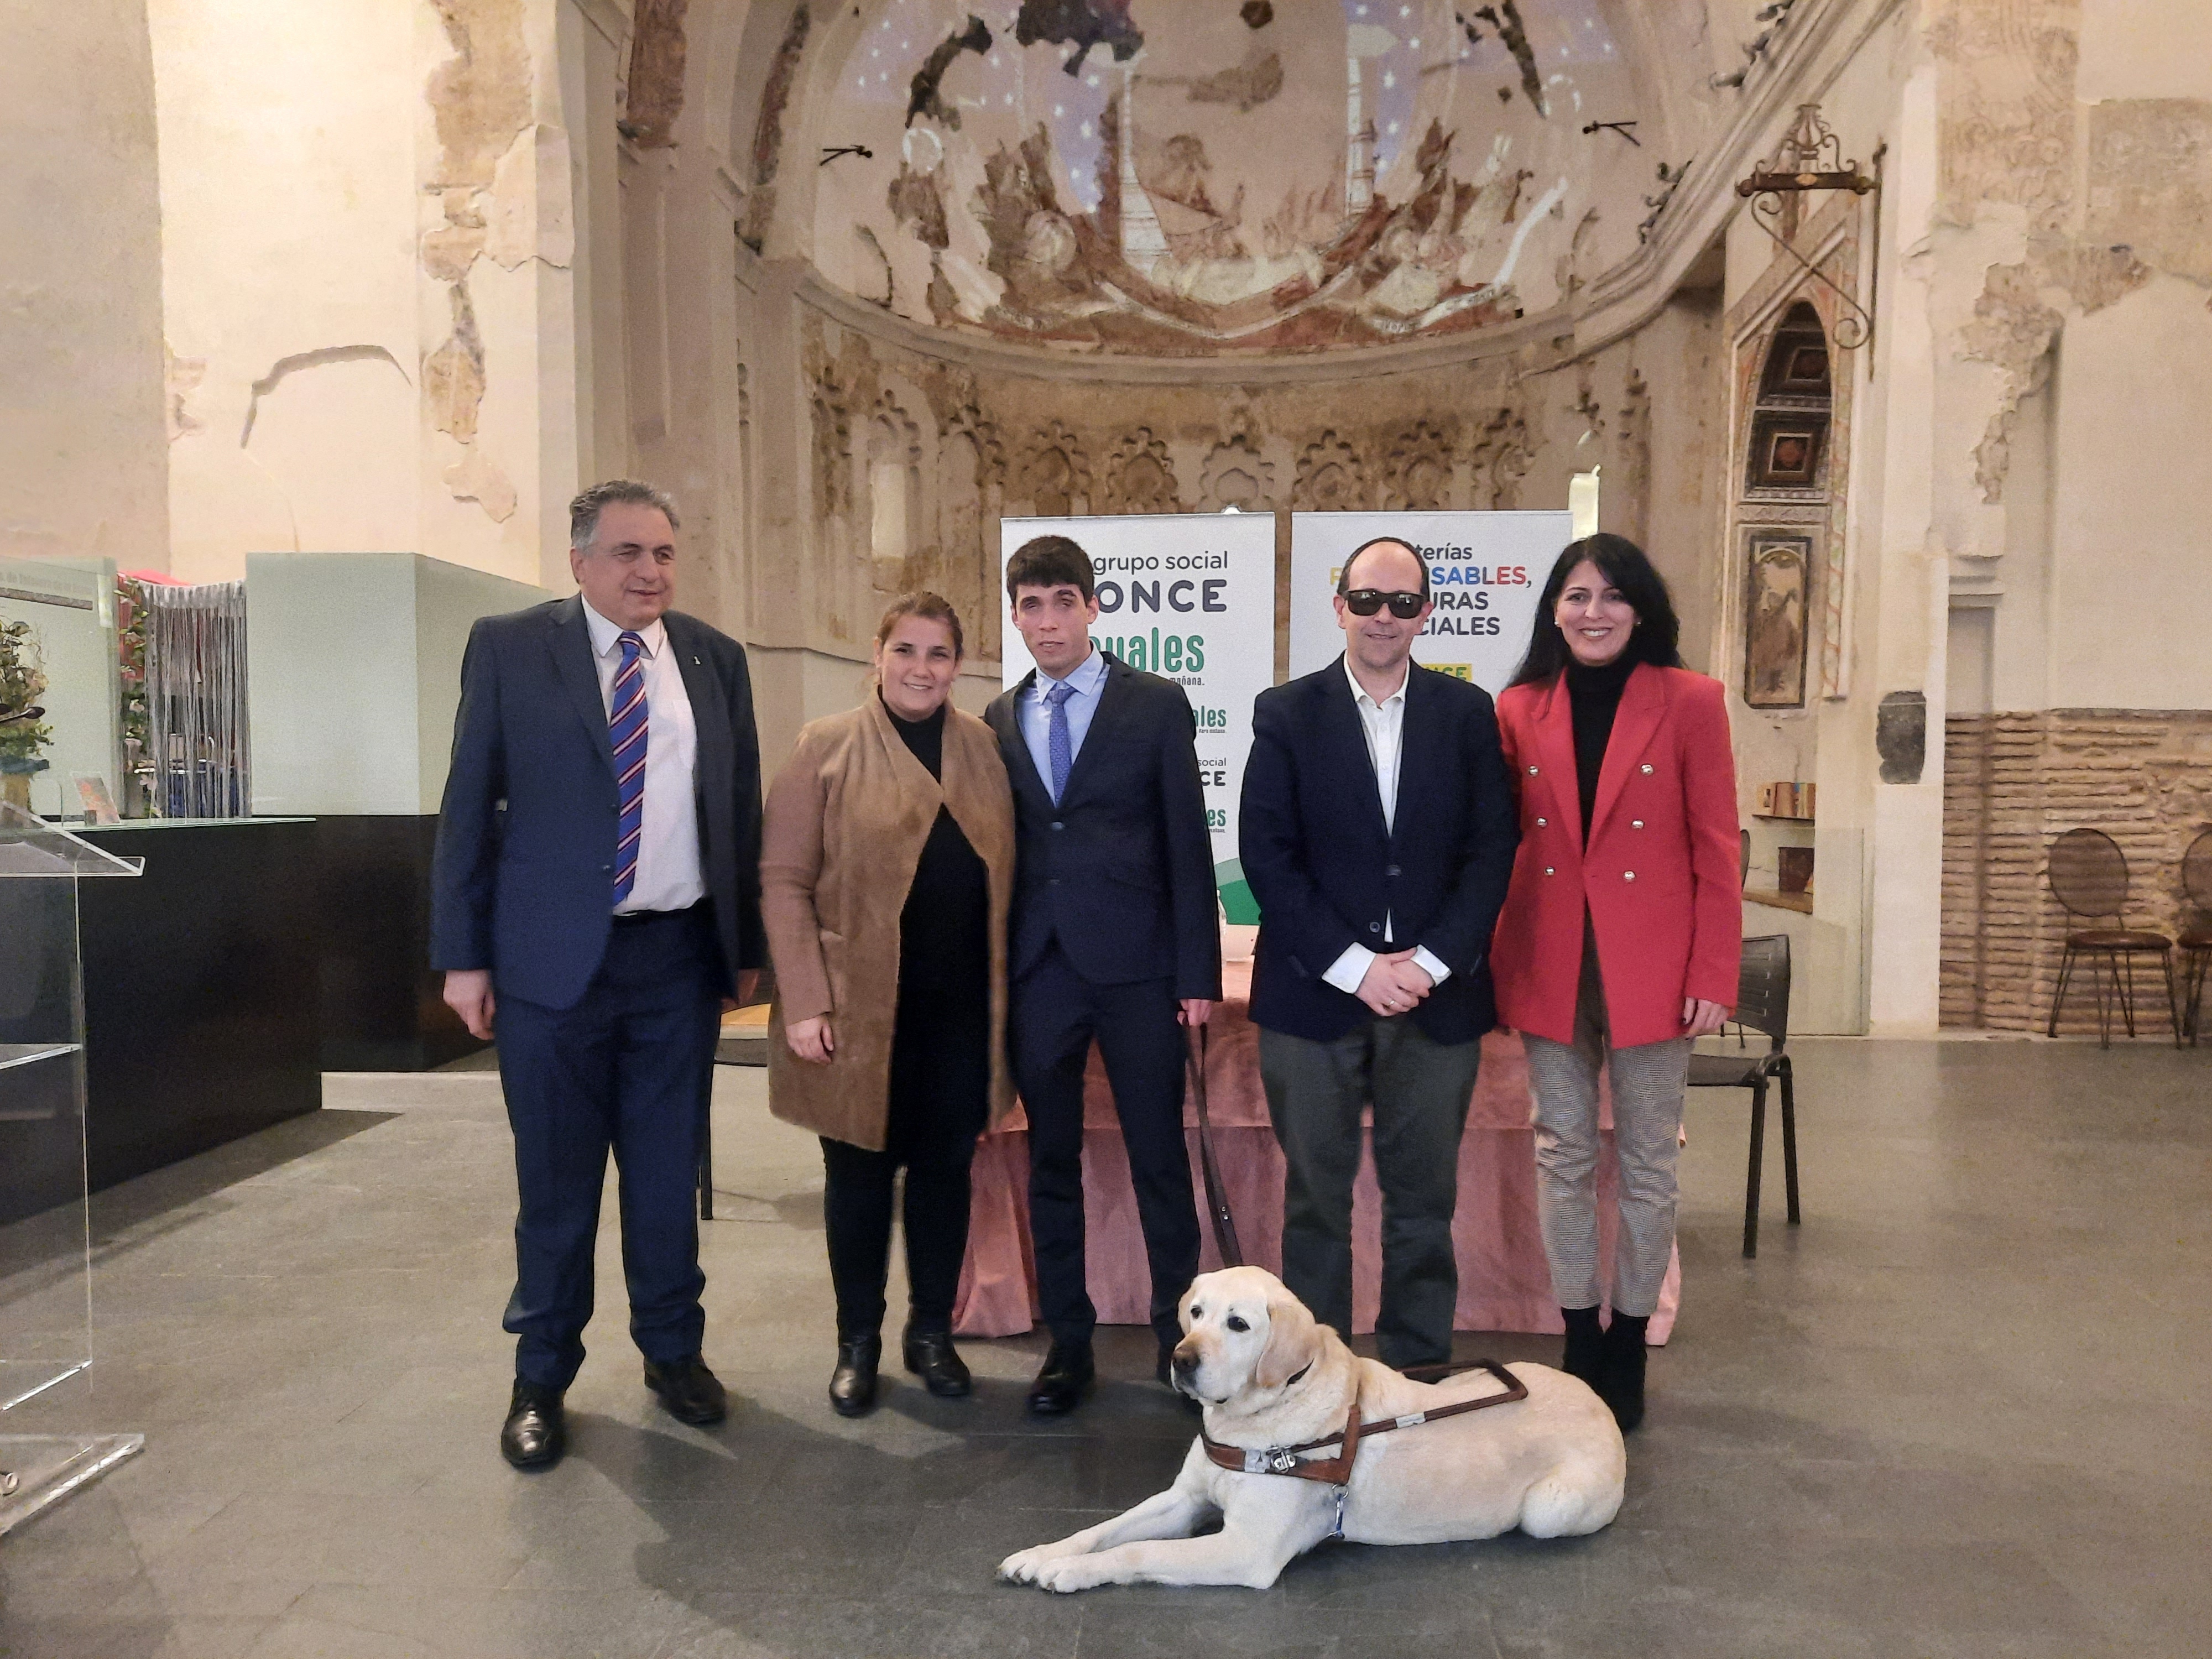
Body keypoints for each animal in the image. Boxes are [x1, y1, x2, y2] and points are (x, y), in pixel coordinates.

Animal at [1004, 1274, 1628, 1601]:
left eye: (1238, 1324)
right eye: (1196, 1312)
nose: (1181, 1360)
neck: (1256, 1421)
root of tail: (1600, 1400)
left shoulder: (1245, 1550)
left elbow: (1138, 1550)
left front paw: (1071, 1573)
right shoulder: (1183, 1501)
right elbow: (1102, 1530)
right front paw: (1041, 1555)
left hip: (1548, 1508)